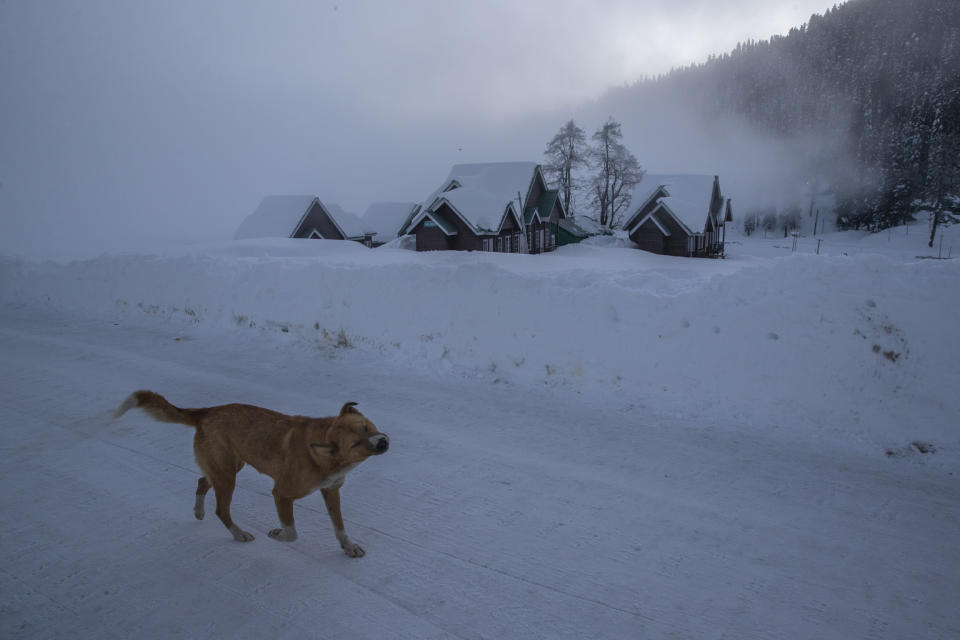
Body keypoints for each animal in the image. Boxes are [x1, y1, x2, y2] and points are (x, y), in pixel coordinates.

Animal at [115, 390, 390, 556]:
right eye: (356, 444)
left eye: (367, 427)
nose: (383, 443)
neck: (325, 454)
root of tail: (207, 411)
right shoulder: (281, 494)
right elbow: (292, 533)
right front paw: (276, 534)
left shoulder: (331, 490)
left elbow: (339, 526)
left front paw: (349, 547)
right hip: (227, 476)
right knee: (221, 510)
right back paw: (239, 534)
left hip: (227, 467)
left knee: (202, 481)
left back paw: (198, 511)